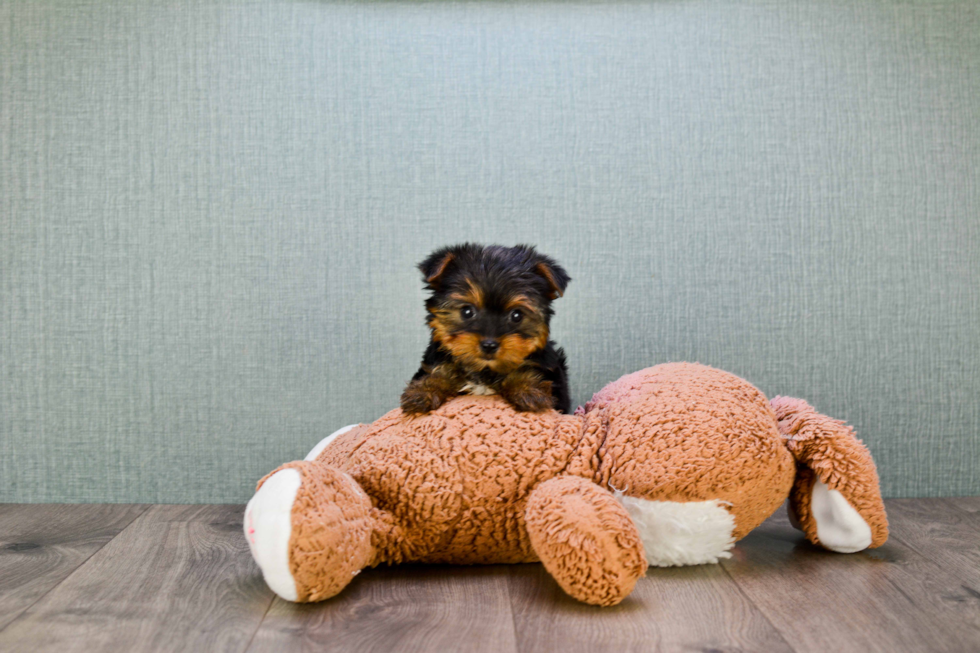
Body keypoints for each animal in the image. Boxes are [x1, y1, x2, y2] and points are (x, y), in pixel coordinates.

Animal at [398, 242, 572, 416]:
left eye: (516, 315)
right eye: (467, 311)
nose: (489, 345)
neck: (484, 370)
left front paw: (529, 389)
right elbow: (438, 372)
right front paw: (423, 391)